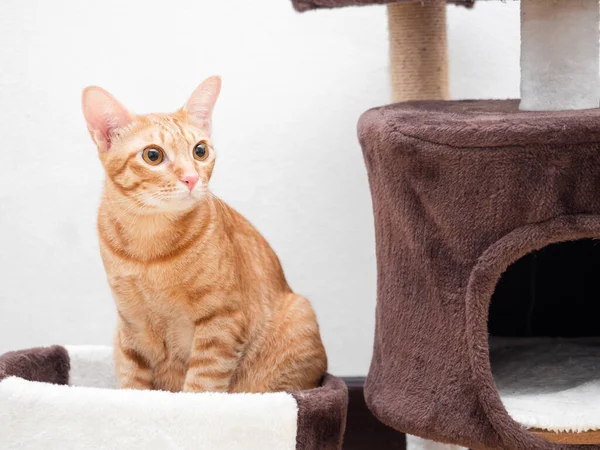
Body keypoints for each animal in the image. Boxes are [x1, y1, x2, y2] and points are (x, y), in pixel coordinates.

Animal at [81, 75, 326, 392]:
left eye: (200, 151)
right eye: (152, 155)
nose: (191, 178)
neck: (150, 246)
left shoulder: (222, 321)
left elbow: (201, 385)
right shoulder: (131, 326)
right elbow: (134, 385)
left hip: (298, 316)